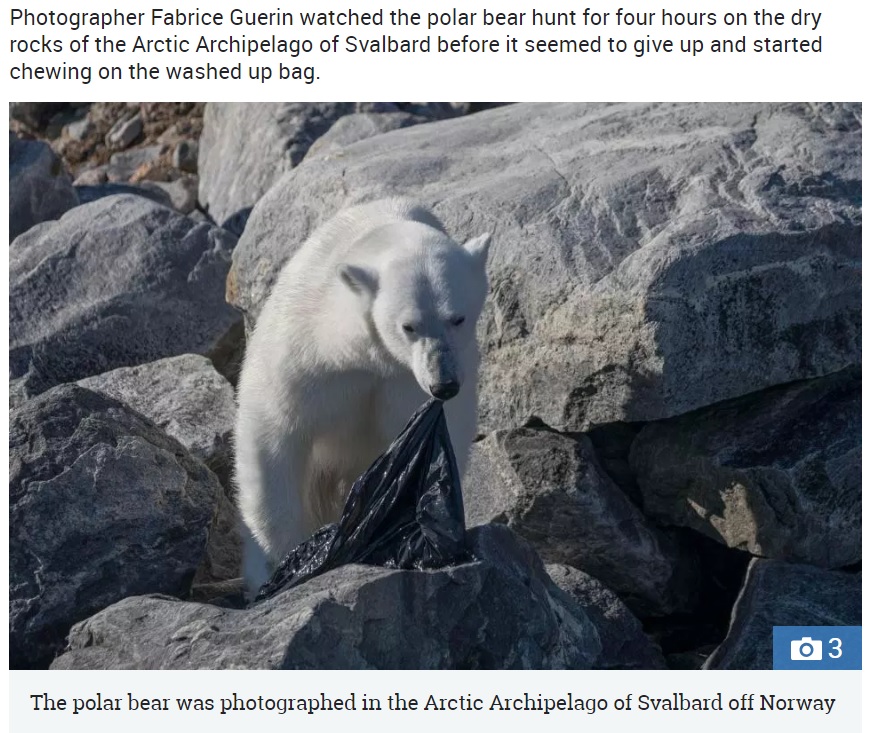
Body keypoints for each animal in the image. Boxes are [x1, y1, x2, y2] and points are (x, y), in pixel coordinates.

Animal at [234, 197, 492, 592]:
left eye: (458, 318)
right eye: (409, 326)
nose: (443, 383)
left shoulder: (404, 383)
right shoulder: (304, 357)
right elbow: (274, 436)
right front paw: (285, 557)